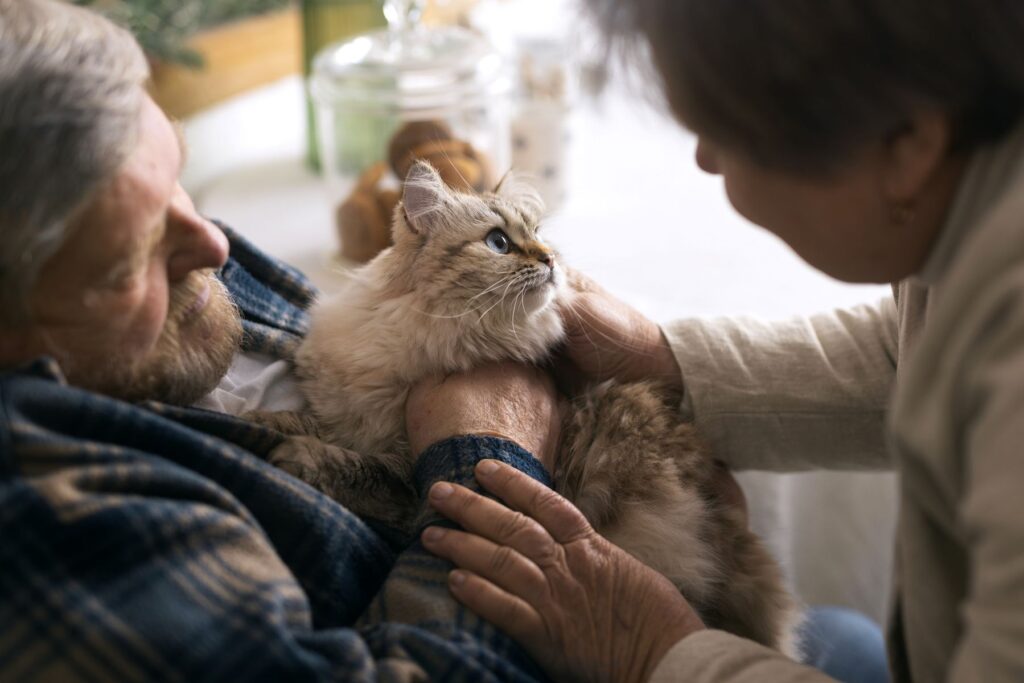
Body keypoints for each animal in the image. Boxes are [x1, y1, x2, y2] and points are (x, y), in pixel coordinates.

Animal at [266, 161, 806, 655]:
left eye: (539, 235)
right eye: (498, 243)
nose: (551, 260)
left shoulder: (405, 475)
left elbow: (357, 466)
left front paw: (288, 454)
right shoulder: (343, 412)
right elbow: (304, 421)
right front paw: (259, 422)